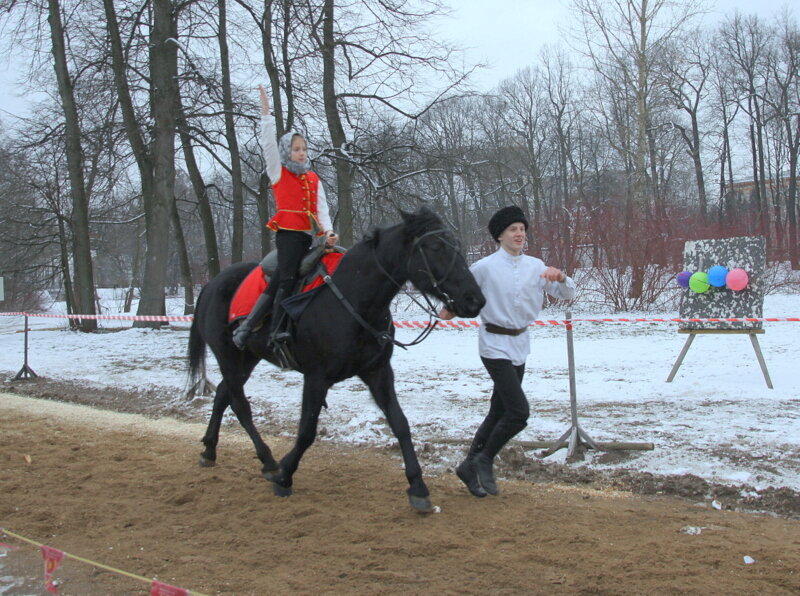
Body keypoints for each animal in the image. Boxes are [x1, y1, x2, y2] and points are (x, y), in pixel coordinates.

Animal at [189, 207, 488, 510]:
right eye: (435, 246)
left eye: (457, 246)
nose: (474, 300)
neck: (354, 300)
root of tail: (212, 284)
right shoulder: (316, 378)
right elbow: (307, 431)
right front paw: (285, 475)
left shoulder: (378, 372)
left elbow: (400, 423)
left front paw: (418, 486)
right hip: (228, 355)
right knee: (240, 404)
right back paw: (269, 461)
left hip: (247, 358)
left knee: (223, 394)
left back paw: (211, 449)